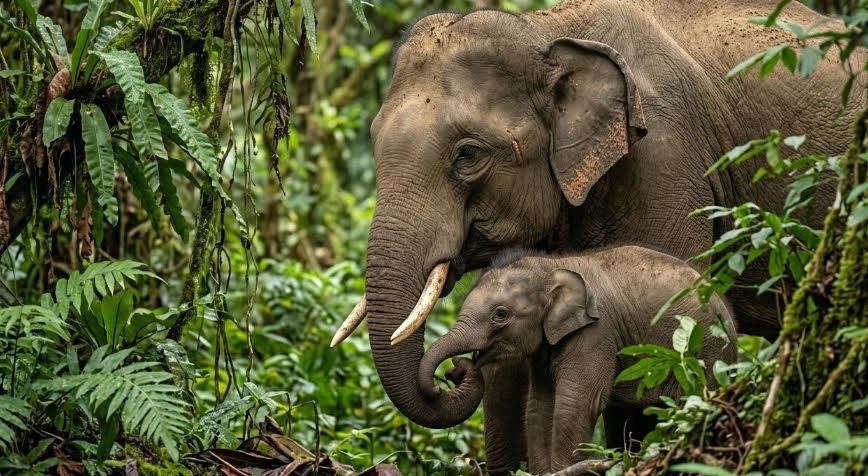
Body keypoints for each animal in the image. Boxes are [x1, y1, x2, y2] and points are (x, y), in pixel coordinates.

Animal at [418, 246, 737, 472]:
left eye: (501, 314)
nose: (452, 372)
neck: (552, 266)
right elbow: (538, 408)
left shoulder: (596, 333)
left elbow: (576, 403)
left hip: (707, 352)